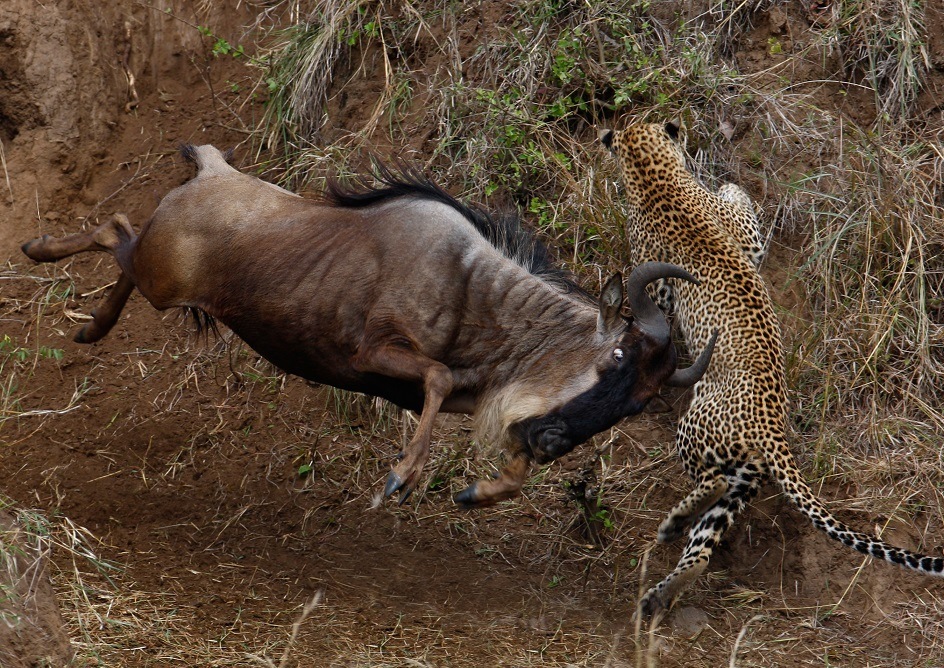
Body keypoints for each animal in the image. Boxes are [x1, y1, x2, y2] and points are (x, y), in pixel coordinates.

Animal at [600, 118, 940, 616]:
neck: (656, 175)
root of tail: (773, 429)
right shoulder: (748, 242)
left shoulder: (660, 281)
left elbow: (730, 195)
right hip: (745, 480)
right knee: (703, 544)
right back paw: (661, 591)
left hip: (698, 432)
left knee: (710, 484)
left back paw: (670, 526)